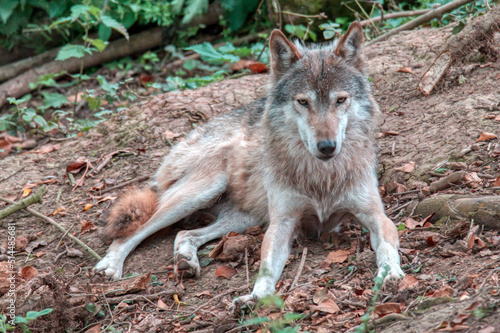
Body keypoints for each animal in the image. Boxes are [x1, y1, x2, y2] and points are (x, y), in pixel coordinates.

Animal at [94, 22, 406, 304]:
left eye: (340, 100)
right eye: (303, 102)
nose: (327, 146)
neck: (322, 177)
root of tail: (196, 132)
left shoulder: (374, 214)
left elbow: (387, 245)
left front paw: (391, 274)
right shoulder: (281, 222)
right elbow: (266, 267)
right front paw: (257, 296)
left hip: (243, 218)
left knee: (184, 233)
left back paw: (185, 260)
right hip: (200, 193)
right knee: (133, 232)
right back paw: (111, 266)